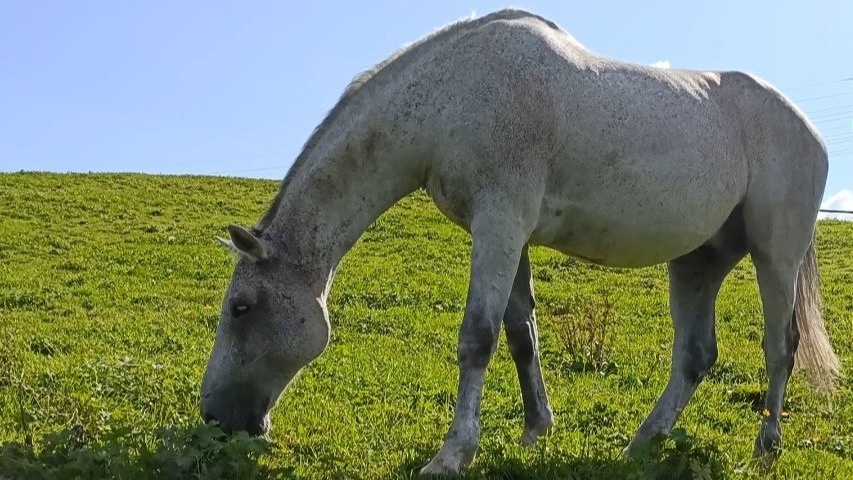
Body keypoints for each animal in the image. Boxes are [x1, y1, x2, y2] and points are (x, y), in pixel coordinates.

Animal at [200, 8, 840, 476]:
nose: (214, 418)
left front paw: (452, 455)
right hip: (697, 261)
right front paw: (536, 430)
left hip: (775, 255)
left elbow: (478, 338)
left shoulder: (500, 225)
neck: (453, 96)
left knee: (780, 347)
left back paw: (765, 450)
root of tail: (808, 129)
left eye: (240, 308)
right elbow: (519, 333)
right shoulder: (510, 236)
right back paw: (639, 446)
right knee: (695, 357)